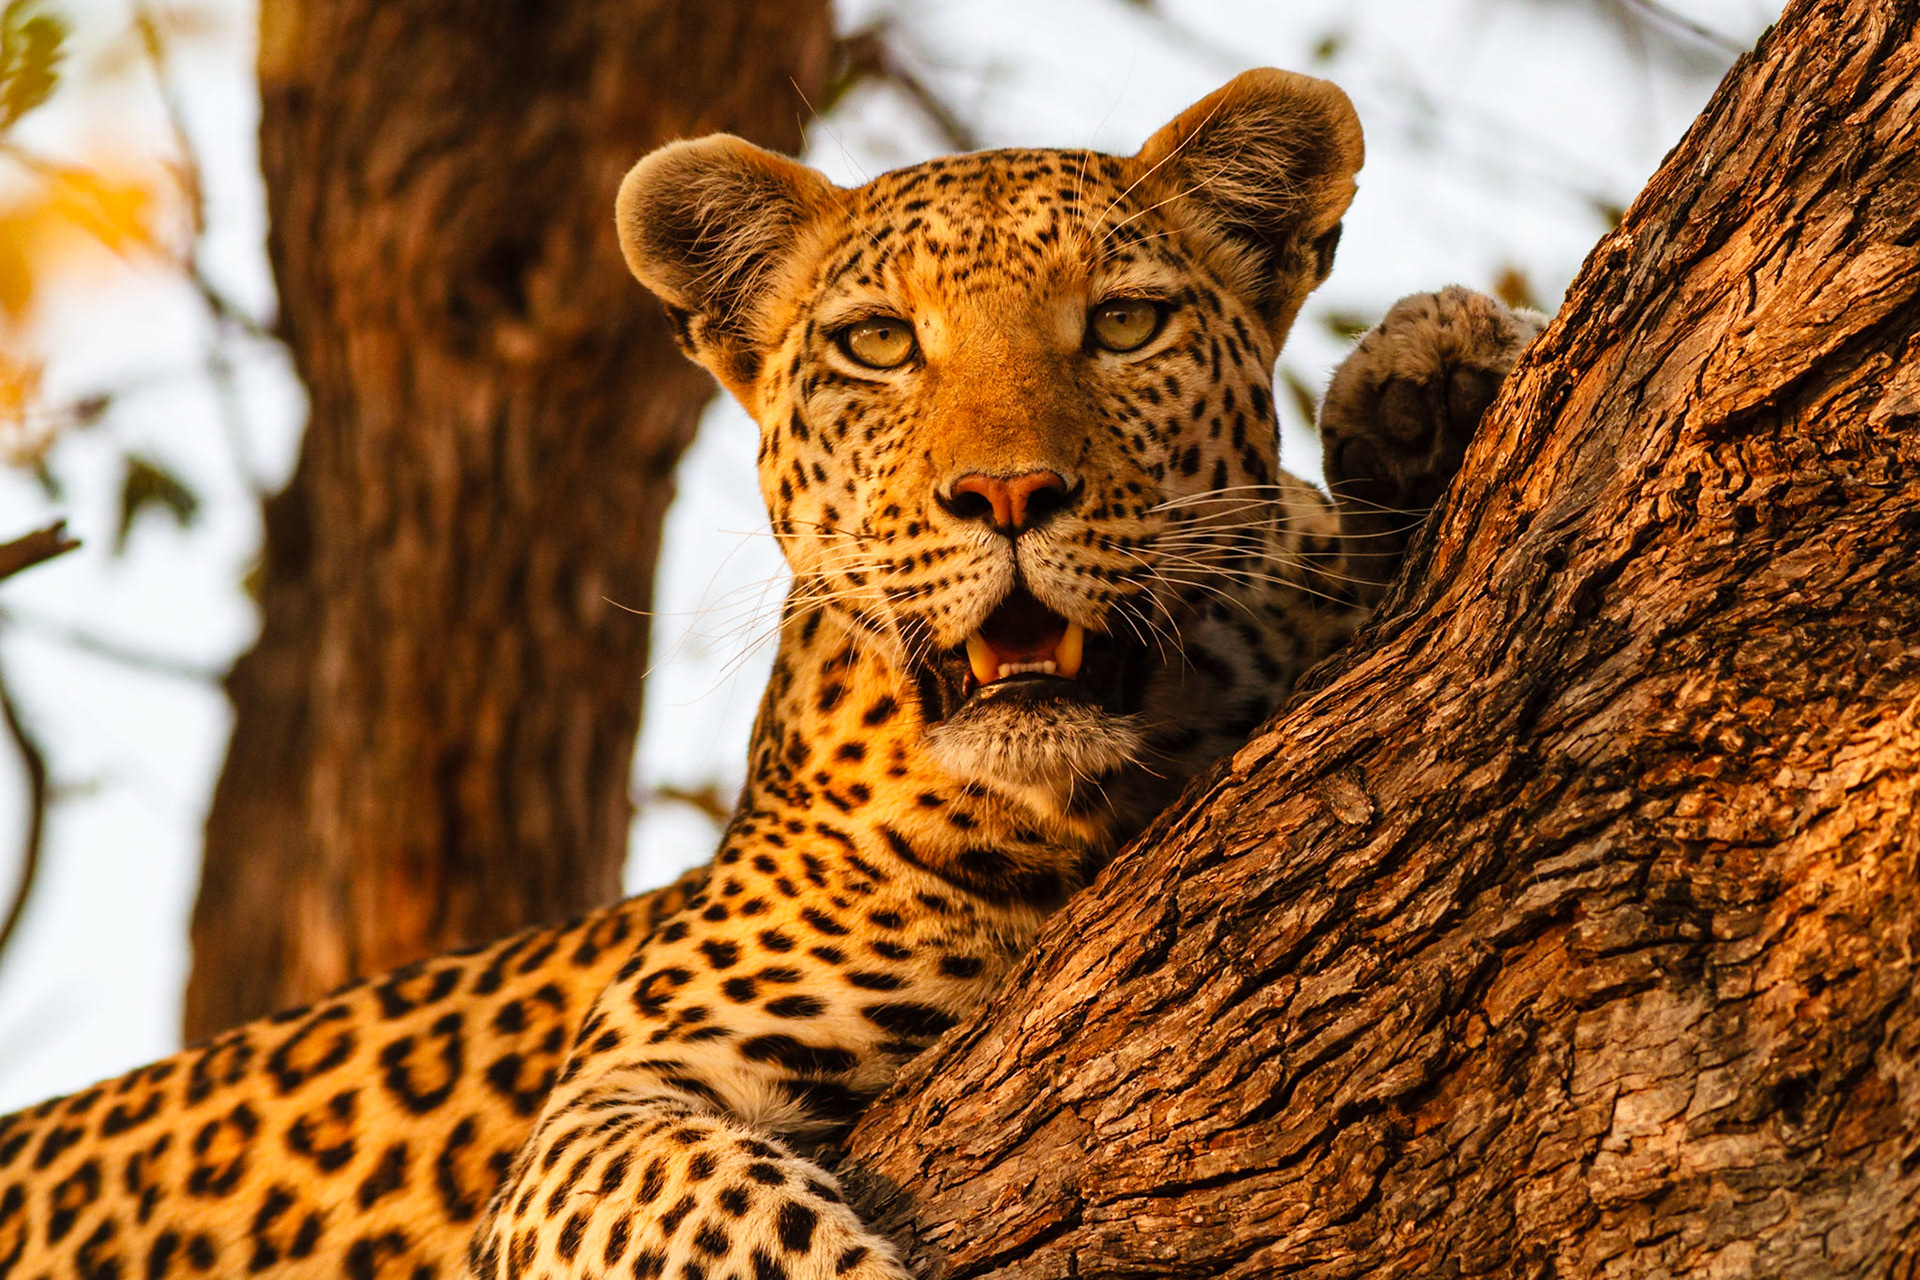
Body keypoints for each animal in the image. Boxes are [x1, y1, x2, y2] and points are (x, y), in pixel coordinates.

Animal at [0, 68, 1544, 1280]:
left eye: (1122, 324)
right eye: (879, 344)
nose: (1007, 494)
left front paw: (1434, 377)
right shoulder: (598, 1120)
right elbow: (720, 1215)